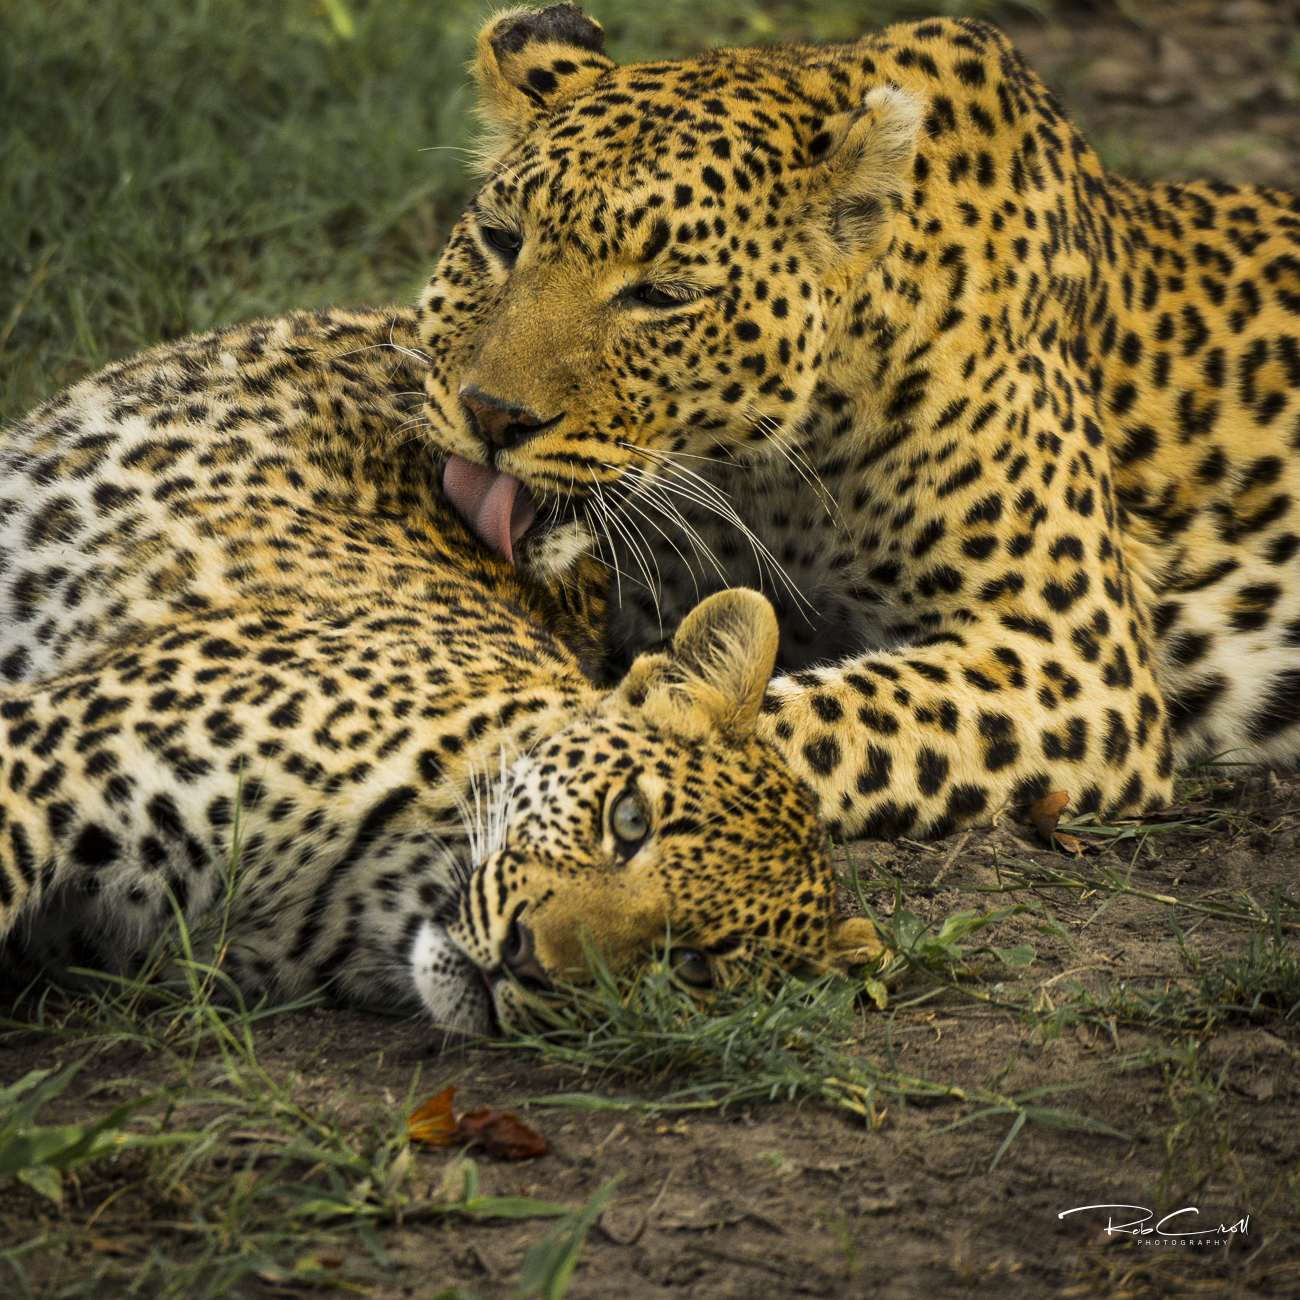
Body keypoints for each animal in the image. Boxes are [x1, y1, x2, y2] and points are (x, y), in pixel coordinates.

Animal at [422, 4, 1300, 842]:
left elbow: (812, 720)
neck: (768, 476)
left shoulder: (1071, 661)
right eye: (500, 240)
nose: (491, 415)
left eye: (663, 296)